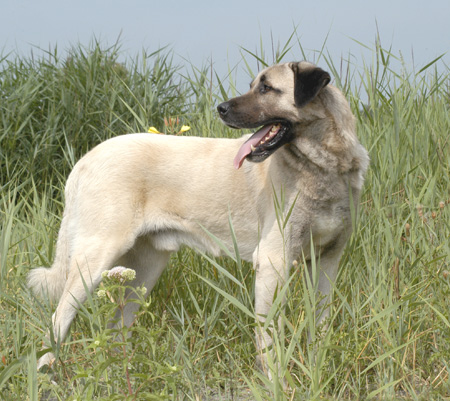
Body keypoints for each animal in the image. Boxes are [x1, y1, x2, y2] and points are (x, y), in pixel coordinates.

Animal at [28, 60, 370, 372]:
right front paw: (274, 380)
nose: (220, 108)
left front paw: (317, 366)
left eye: (266, 88)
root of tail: (87, 158)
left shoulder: (327, 261)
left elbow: (320, 325)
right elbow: (269, 336)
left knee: (116, 329)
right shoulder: (273, 262)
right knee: (58, 321)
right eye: (254, 85)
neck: (324, 166)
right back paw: (46, 376)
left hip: (144, 270)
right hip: (95, 259)